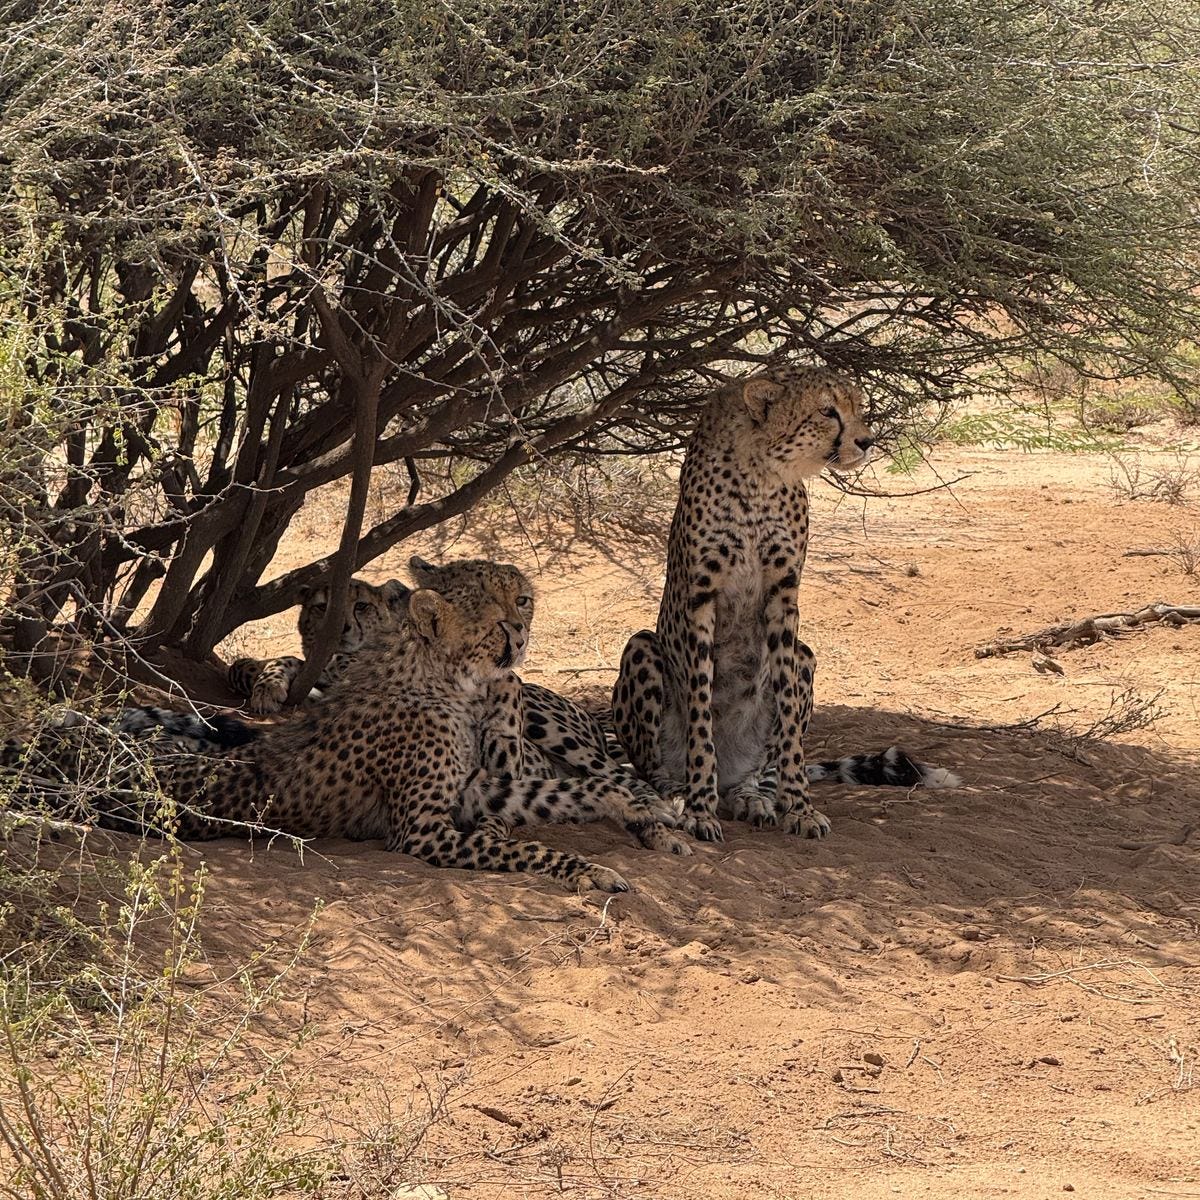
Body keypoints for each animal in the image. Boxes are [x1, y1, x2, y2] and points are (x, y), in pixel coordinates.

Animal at [612, 364, 960, 845]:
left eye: (858, 406)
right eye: (827, 411)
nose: (866, 441)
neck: (762, 472)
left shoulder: (783, 596)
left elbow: (791, 724)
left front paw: (800, 808)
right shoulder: (701, 599)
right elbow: (701, 715)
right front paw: (699, 809)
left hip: (805, 657)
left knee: (760, 770)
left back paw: (751, 797)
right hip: (641, 648)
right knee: (652, 766)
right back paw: (680, 792)